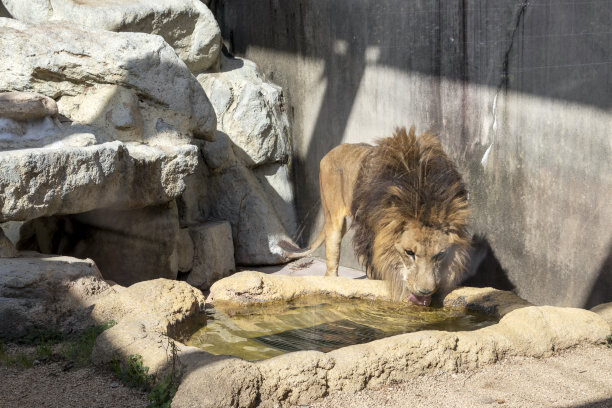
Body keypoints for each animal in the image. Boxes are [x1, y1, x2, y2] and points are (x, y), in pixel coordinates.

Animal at [280, 126, 470, 304]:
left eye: (440, 255)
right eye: (409, 253)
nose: (425, 291)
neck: (421, 194)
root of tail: (331, 151)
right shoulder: (369, 236)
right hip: (333, 216)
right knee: (331, 259)